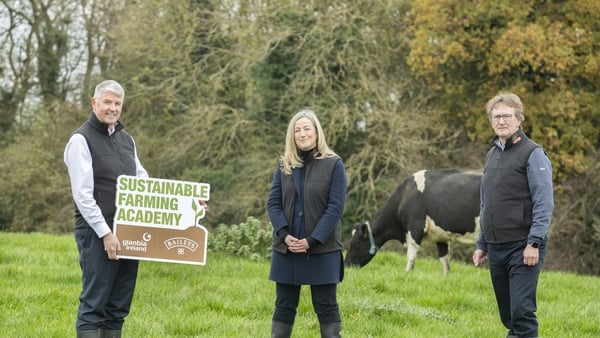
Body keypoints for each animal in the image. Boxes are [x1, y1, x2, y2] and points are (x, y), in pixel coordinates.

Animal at [344, 169, 480, 274]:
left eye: (354, 243)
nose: (346, 265)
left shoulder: (415, 228)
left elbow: (411, 257)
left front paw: (407, 274)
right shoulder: (440, 235)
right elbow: (445, 260)